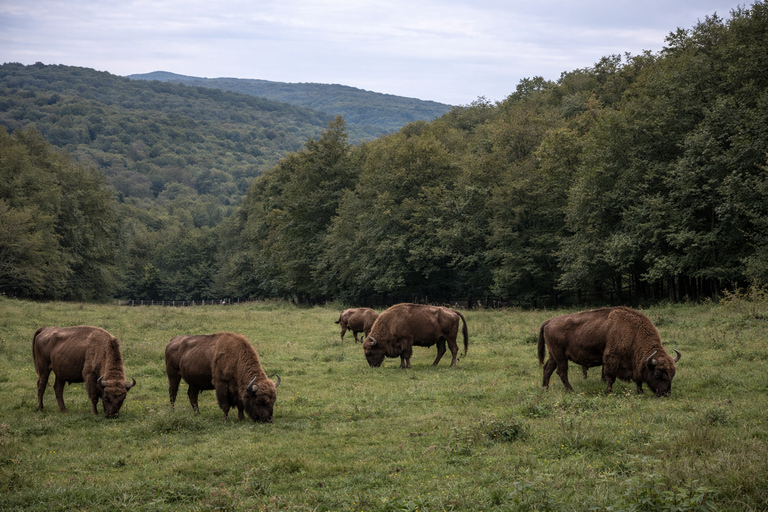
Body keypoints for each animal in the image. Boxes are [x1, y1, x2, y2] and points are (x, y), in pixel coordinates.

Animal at [538, 307, 681, 396]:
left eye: (672, 374)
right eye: (657, 374)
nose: (665, 393)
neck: (633, 333)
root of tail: (549, 321)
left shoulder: (634, 365)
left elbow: (638, 379)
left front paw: (640, 392)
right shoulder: (612, 359)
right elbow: (610, 377)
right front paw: (609, 392)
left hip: (553, 355)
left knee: (548, 369)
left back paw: (545, 389)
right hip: (560, 356)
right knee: (561, 372)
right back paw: (570, 391)